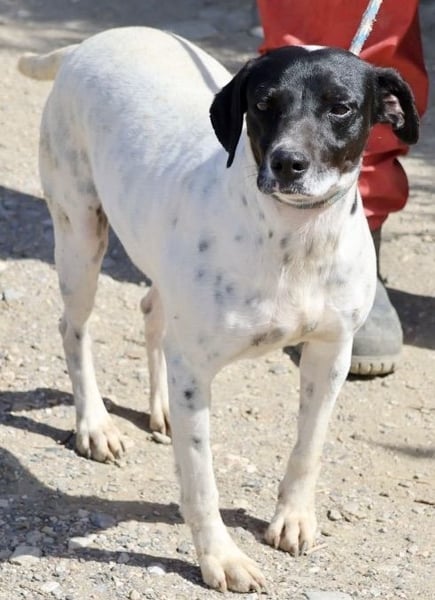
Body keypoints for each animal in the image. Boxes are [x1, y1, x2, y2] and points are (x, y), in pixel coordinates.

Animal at [18, 27, 418, 592]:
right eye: (263, 104)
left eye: (341, 107)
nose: (287, 163)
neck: (293, 242)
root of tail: (87, 44)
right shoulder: (195, 373)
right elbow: (201, 482)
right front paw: (221, 558)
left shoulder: (331, 354)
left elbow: (309, 447)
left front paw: (293, 517)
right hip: (79, 239)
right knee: (74, 329)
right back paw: (94, 425)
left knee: (151, 310)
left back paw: (159, 409)